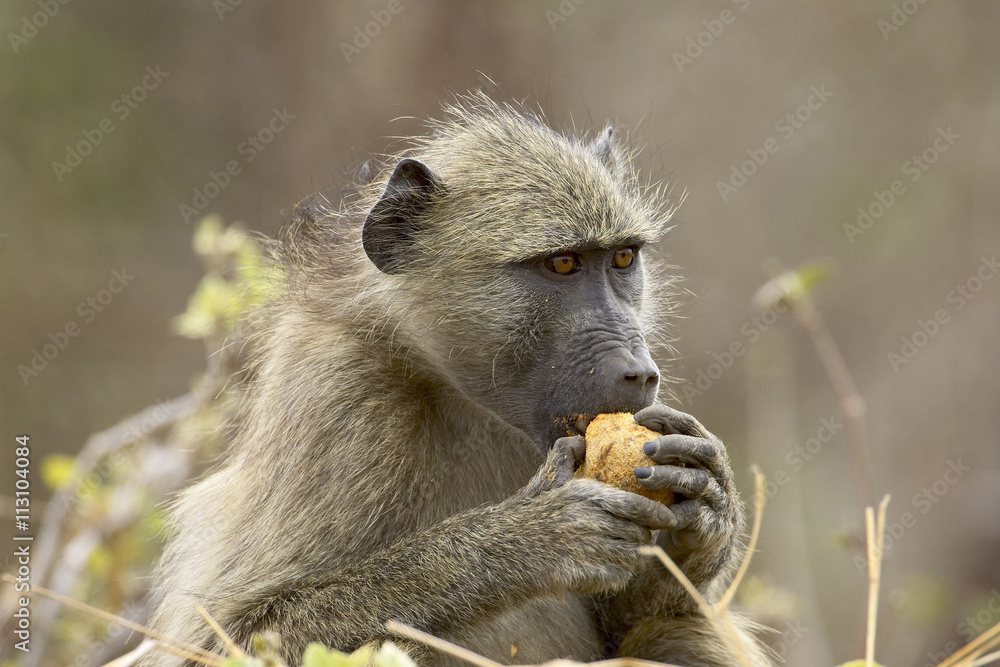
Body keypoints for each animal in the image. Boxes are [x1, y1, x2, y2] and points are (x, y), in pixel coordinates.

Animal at [143, 93, 772, 667]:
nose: (639, 371)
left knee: (679, 631)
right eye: (563, 264)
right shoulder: (337, 395)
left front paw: (708, 511)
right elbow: (227, 638)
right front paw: (529, 538)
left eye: (622, 258)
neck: (451, 386)